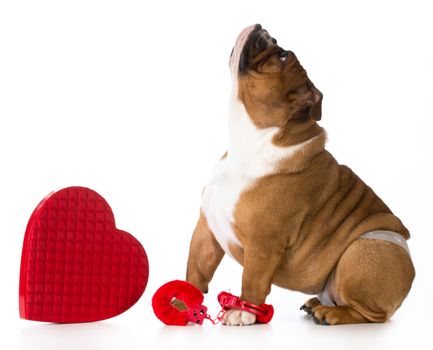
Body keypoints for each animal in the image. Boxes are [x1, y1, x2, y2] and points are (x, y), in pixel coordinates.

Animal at [185, 23, 412, 326]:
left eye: (282, 55)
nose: (264, 29)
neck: (254, 138)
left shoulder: (263, 245)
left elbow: (252, 281)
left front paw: (243, 311)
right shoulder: (206, 230)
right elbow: (196, 269)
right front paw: (181, 301)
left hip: (365, 251)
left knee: (371, 316)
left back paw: (330, 313)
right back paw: (317, 303)